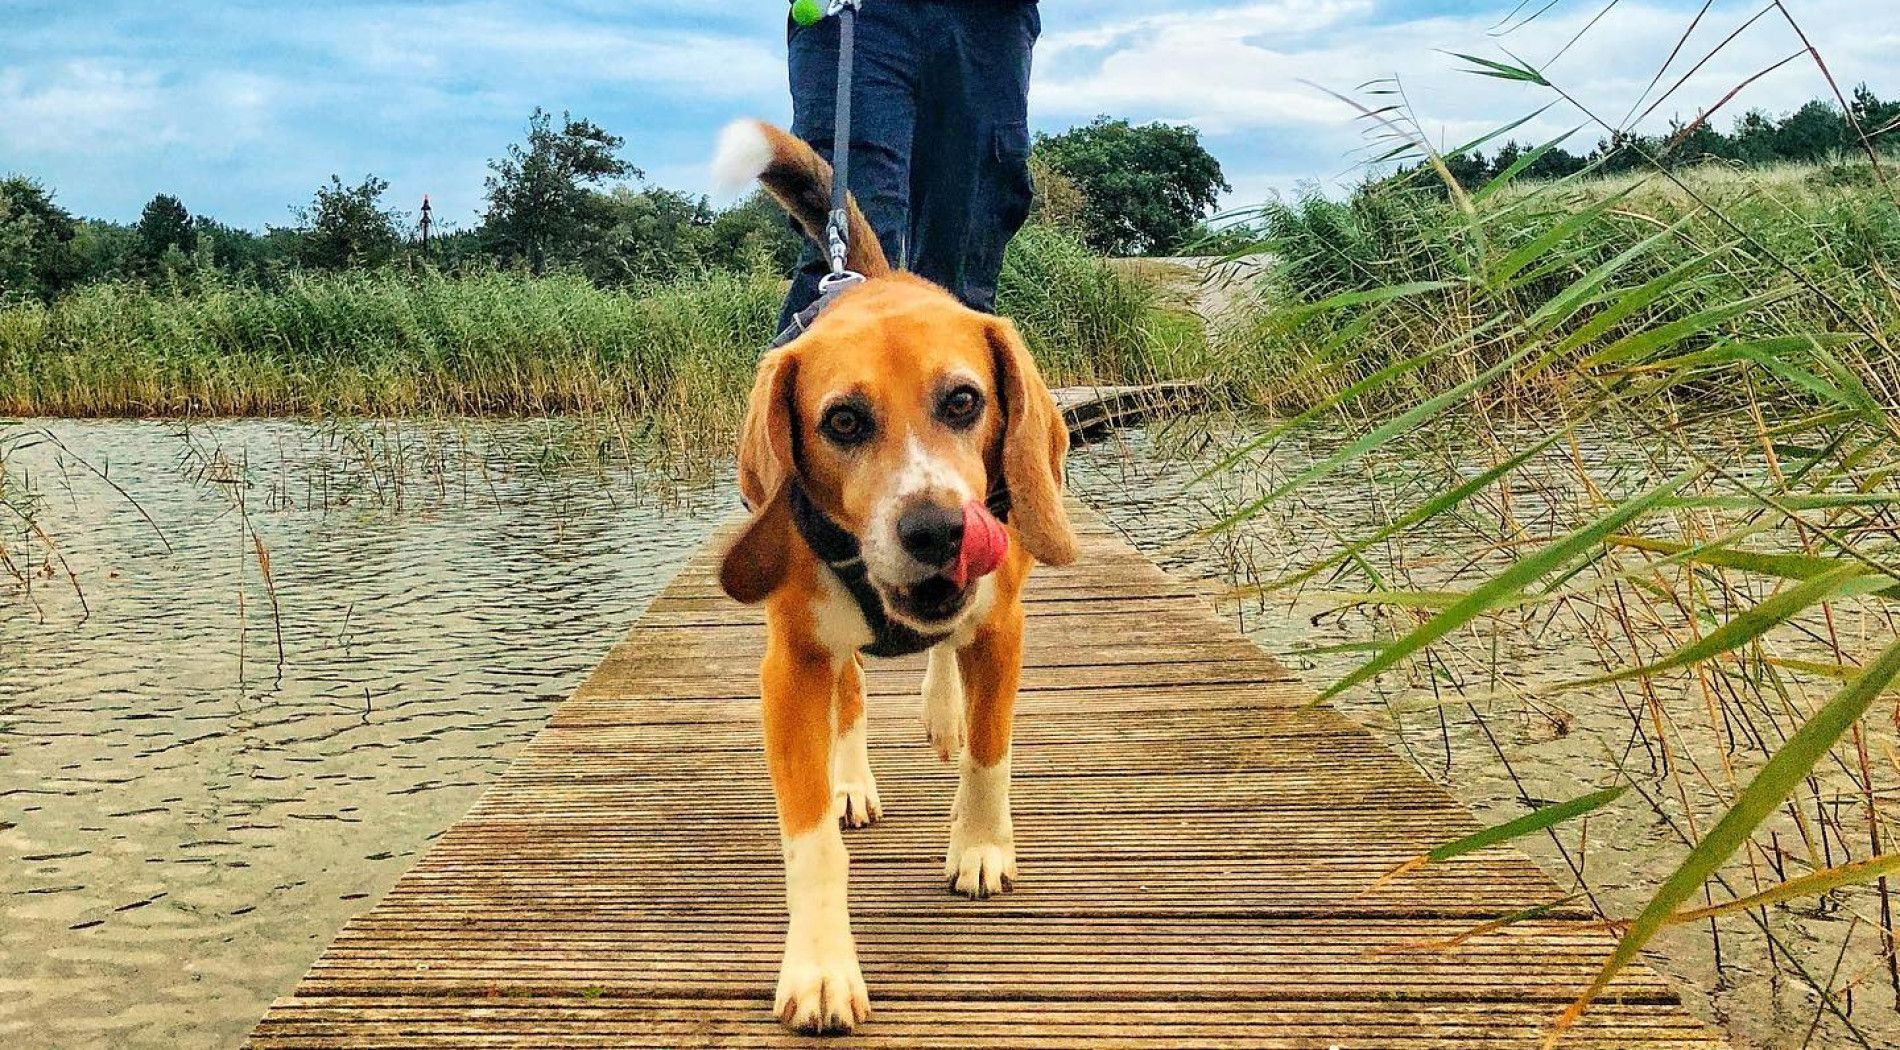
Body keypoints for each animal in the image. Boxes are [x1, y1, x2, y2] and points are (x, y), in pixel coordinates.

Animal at [714, 120, 1079, 1032]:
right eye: (842, 421)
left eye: (963, 401)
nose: (936, 529)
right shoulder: (789, 669)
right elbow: (809, 841)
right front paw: (819, 966)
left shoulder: (1003, 628)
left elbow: (990, 750)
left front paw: (979, 846)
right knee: (851, 696)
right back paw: (853, 778)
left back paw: (943, 712)